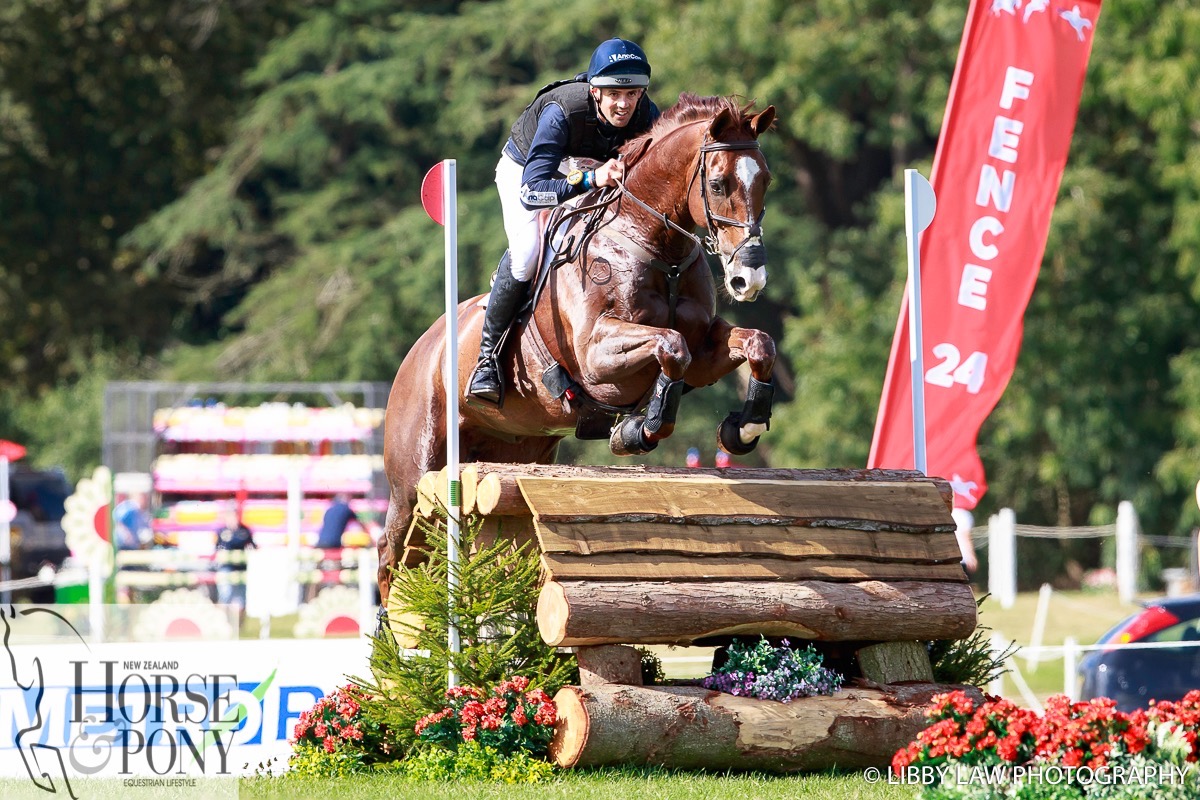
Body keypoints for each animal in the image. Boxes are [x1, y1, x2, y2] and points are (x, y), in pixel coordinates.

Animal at [379, 94, 782, 604]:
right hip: (414, 475)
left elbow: (756, 344)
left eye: (765, 180)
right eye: (717, 183)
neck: (656, 245)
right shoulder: (596, 359)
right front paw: (638, 428)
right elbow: (670, 348)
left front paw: (743, 427)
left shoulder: (706, 345)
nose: (749, 279)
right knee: (391, 558)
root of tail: (420, 349)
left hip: (513, 454)